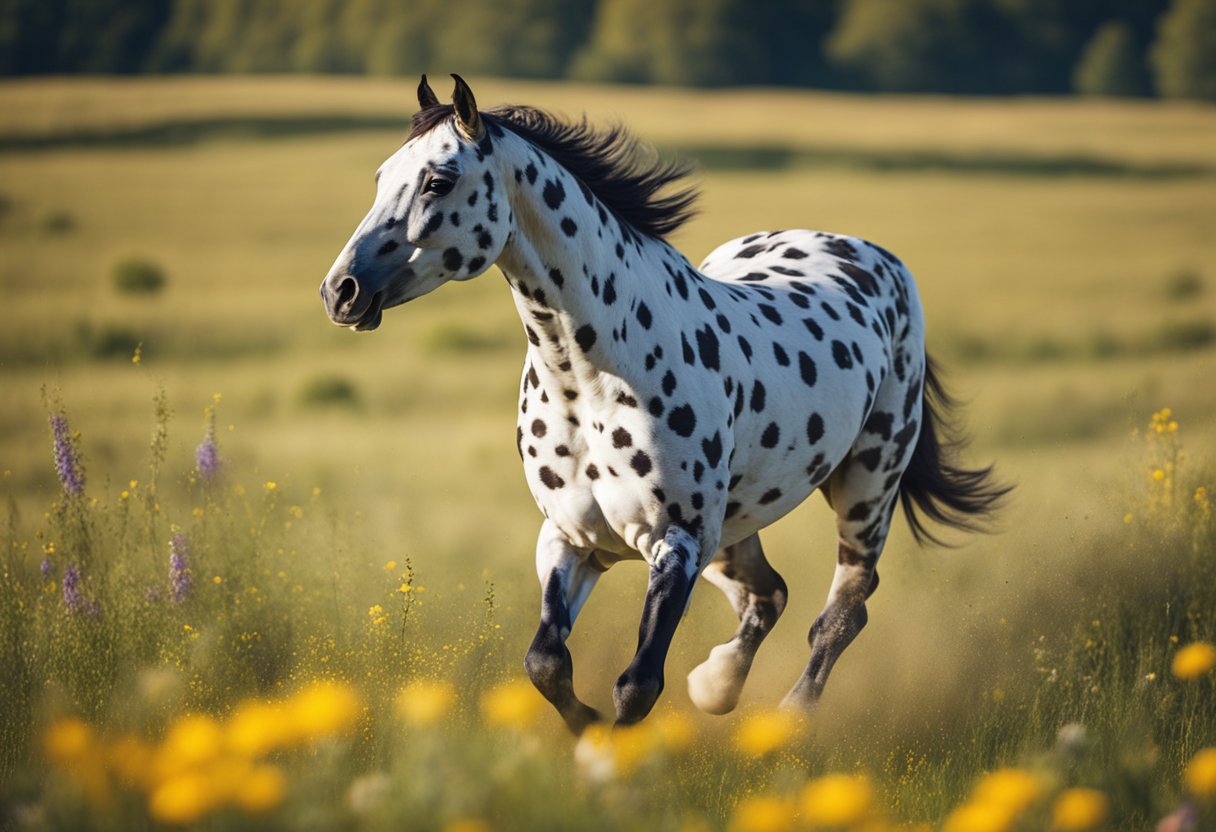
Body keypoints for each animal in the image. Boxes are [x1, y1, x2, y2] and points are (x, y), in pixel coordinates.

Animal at [316, 74, 1006, 729]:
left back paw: (789, 720)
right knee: (769, 596)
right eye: (381, 177)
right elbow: (545, 663)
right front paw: (590, 734)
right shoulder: (570, 539)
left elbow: (638, 684)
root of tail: (871, 255)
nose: (341, 291)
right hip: (734, 526)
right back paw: (718, 687)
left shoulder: (675, 543)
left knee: (841, 612)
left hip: (864, 488)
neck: (589, 378)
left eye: (438, 180)